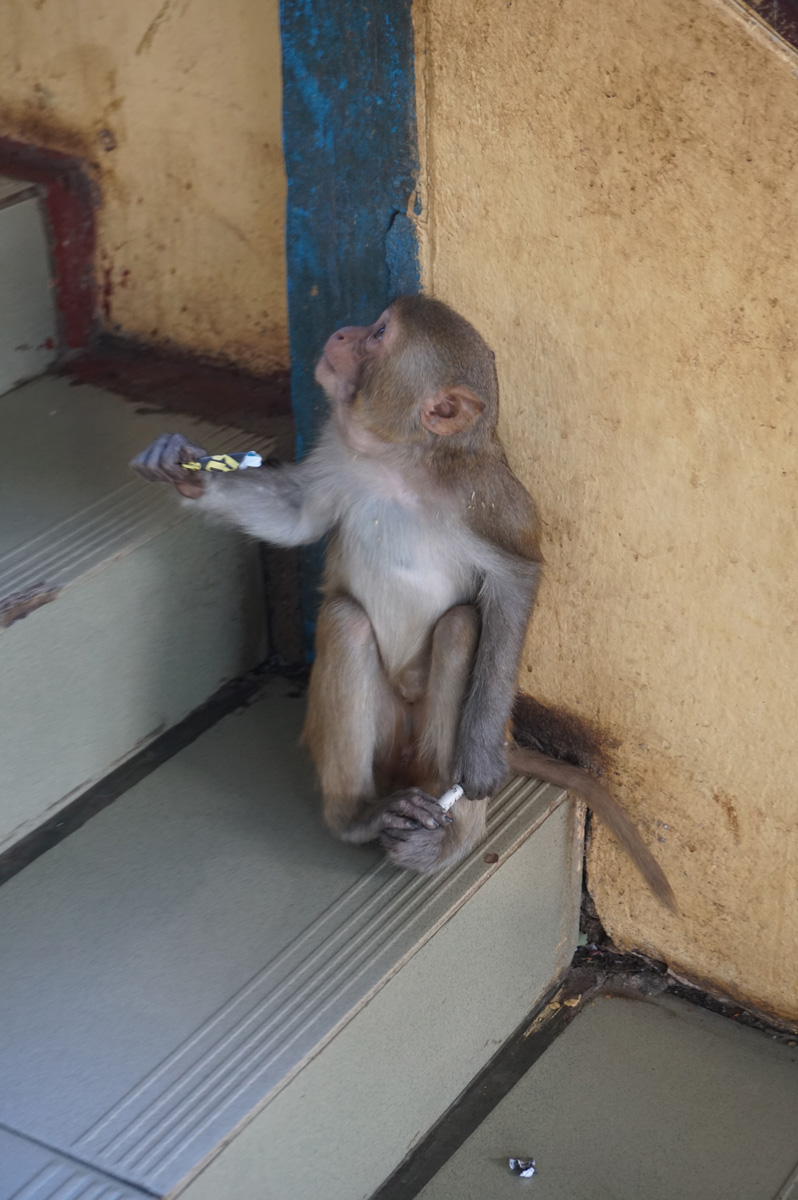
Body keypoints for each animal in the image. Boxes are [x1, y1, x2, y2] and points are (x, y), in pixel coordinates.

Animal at [131, 296, 675, 909]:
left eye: (379, 333)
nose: (343, 332)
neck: (399, 460)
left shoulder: (487, 499)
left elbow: (516, 579)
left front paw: (480, 754)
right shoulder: (337, 455)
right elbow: (297, 518)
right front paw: (187, 473)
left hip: (425, 740)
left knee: (461, 628)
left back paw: (448, 836)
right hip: (381, 739)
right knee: (345, 621)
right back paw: (359, 817)